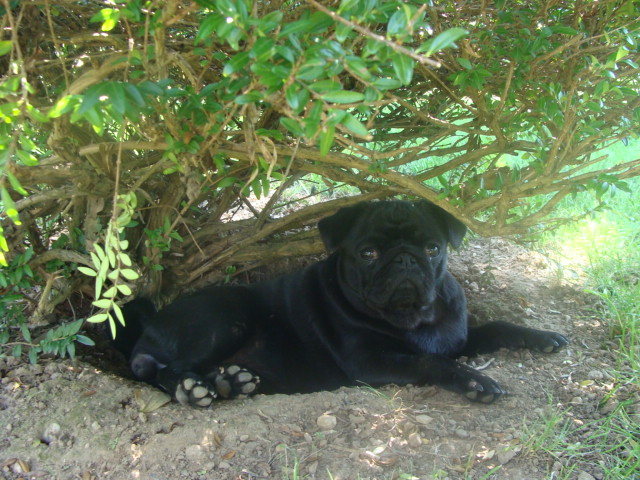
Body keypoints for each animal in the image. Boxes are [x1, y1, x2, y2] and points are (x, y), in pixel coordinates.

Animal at [112, 199, 568, 404]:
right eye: (368, 252)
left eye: (433, 248)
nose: (405, 258)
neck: (415, 319)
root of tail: (150, 325)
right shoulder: (372, 360)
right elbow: (430, 362)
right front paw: (475, 382)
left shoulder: (457, 337)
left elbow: (495, 327)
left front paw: (541, 336)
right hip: (226, 316)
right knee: (163, 368)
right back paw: (194, 389)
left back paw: (232, 381)